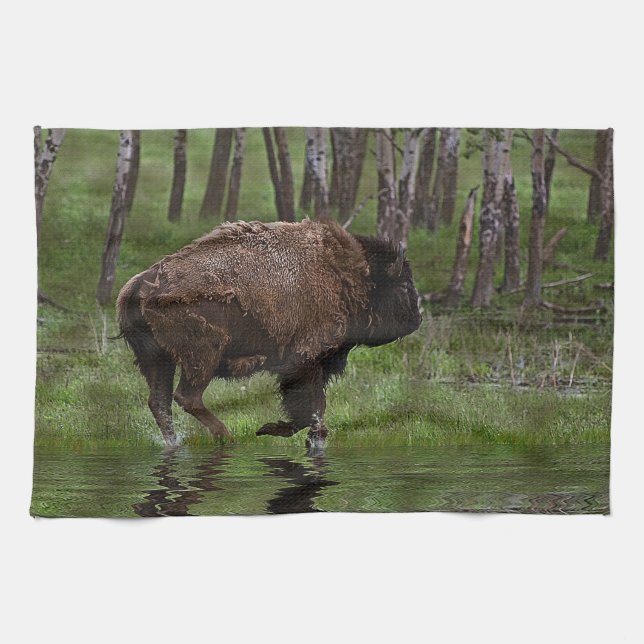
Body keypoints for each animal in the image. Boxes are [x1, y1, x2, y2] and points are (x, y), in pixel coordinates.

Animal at [117, 219, 421, 448]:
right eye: (404, 286)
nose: (417, 319)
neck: (347, 275)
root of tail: (141, 283)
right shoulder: (307, 359)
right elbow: (310, 407)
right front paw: (274, 431)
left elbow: (313, 408)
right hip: (202, 356)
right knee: (186, 397)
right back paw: (226, 437)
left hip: (157, 360)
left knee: (160, 402)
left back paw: (177, 443)